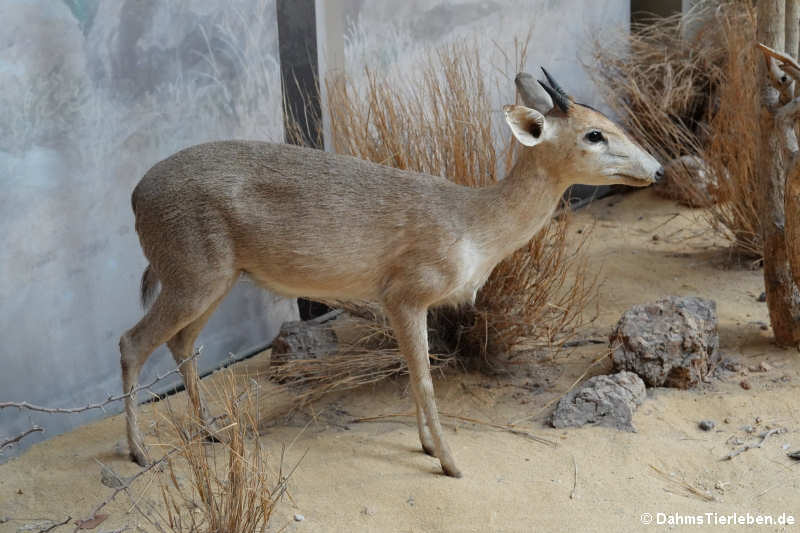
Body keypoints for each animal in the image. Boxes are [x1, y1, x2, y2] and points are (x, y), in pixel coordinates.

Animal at [117, 67, 656, 478]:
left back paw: (210, 430)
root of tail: (137, 194)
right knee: (132, 342)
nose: (656, 169)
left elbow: (416, 375)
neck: (473, 222)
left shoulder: (406, 306)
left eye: (604, 120)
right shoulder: (405, 298)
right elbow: (424, 380)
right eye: (593, 133)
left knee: (182, 344)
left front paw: (426, 446)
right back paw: (140, 453)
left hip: (216, 284)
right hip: (192, 281)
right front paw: (450, 462)